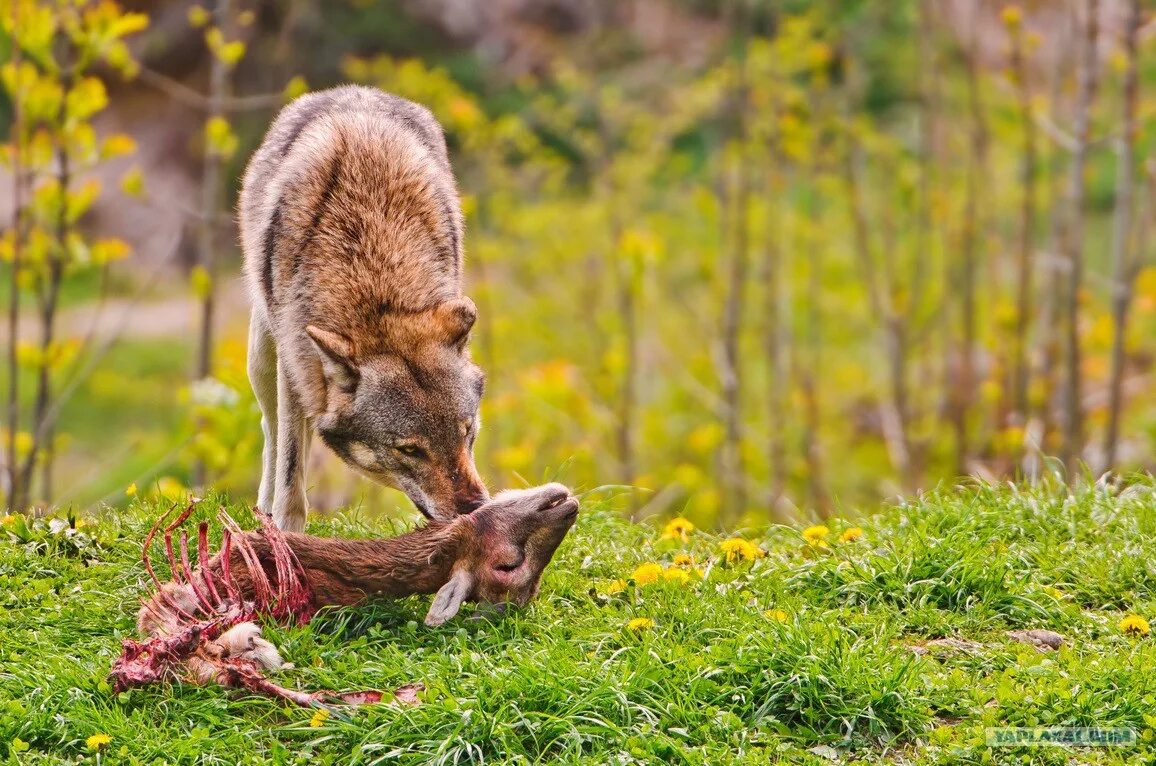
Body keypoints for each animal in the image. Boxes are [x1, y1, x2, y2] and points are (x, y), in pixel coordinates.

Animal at [234, 86, 487, 533]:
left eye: (466, 431)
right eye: (409, 450)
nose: (476, 508)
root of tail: (350, 90)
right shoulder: (295, 368)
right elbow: (291, 467)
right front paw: (287, 535)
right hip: (264, 359)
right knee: (273, 431)